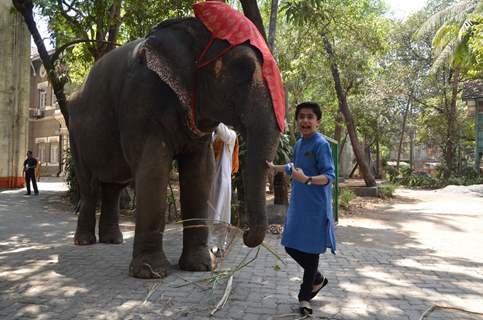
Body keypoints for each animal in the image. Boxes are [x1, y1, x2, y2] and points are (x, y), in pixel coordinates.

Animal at [66, 15, 282, 278]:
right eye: (243, 68)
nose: (247, 234)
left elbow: (201, 172)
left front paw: (200, 266)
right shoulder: (141, 99)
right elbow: (153, 168)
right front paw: (150, 272)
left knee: (114, 187)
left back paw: (113, 240)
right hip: (75, 136)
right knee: (89, 186)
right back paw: (84, 241)